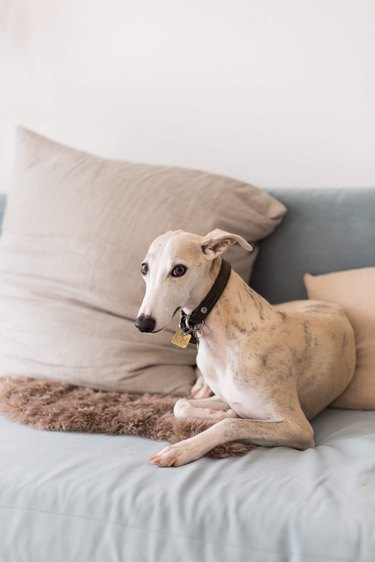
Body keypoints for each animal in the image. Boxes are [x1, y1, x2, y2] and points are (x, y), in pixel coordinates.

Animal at [134, 225, 356, 466]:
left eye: (179, 270)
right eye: (144, 268)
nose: (142, 323)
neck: (226, 338)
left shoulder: (298, 428)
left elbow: (232, 423)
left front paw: (184, 447)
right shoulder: (227, 397)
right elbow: (180, 405)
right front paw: (216, 414)